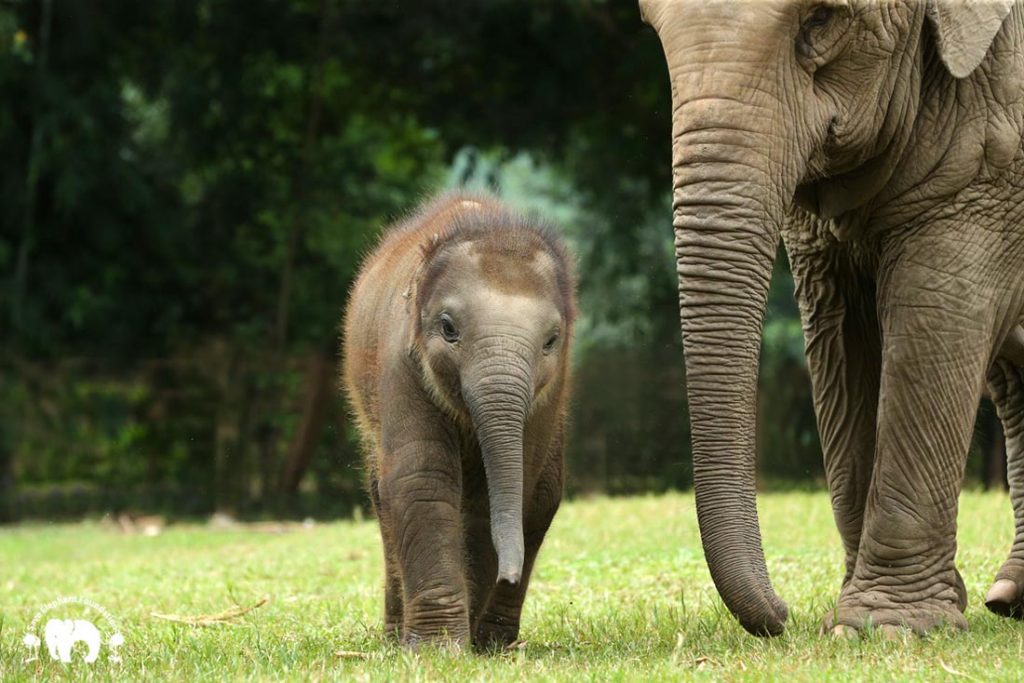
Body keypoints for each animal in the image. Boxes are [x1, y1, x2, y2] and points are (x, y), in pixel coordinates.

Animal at [344, 193, 577, 651]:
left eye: (551, 340)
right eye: (448, 328)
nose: (510, 573)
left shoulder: (552, 389)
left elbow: (501, 489)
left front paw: (462, 643)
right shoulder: (400, 360)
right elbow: (421, 476)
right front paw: (436, 648)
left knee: (543, 495)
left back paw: (493, 642)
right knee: (382, 494)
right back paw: (397, 637)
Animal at [638, 0, 1024, 638]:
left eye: (822, 19)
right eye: (652, 28)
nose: (781, 615)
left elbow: (935, 315)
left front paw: (885, 627)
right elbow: (840, 338)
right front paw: (857, 619)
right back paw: (1009, 598)